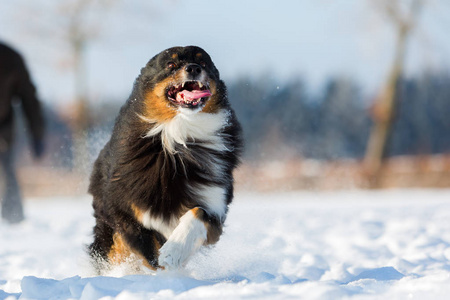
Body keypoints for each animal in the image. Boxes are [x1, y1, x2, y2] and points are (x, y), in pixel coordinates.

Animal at [88, 46, 243, 272]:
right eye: (171, 64)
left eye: (203, 63)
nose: (193, 68)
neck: (178, 135)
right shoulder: (123, 211)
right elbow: (148, 250)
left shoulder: (215, 205)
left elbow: (198, 213)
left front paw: (173, 252)